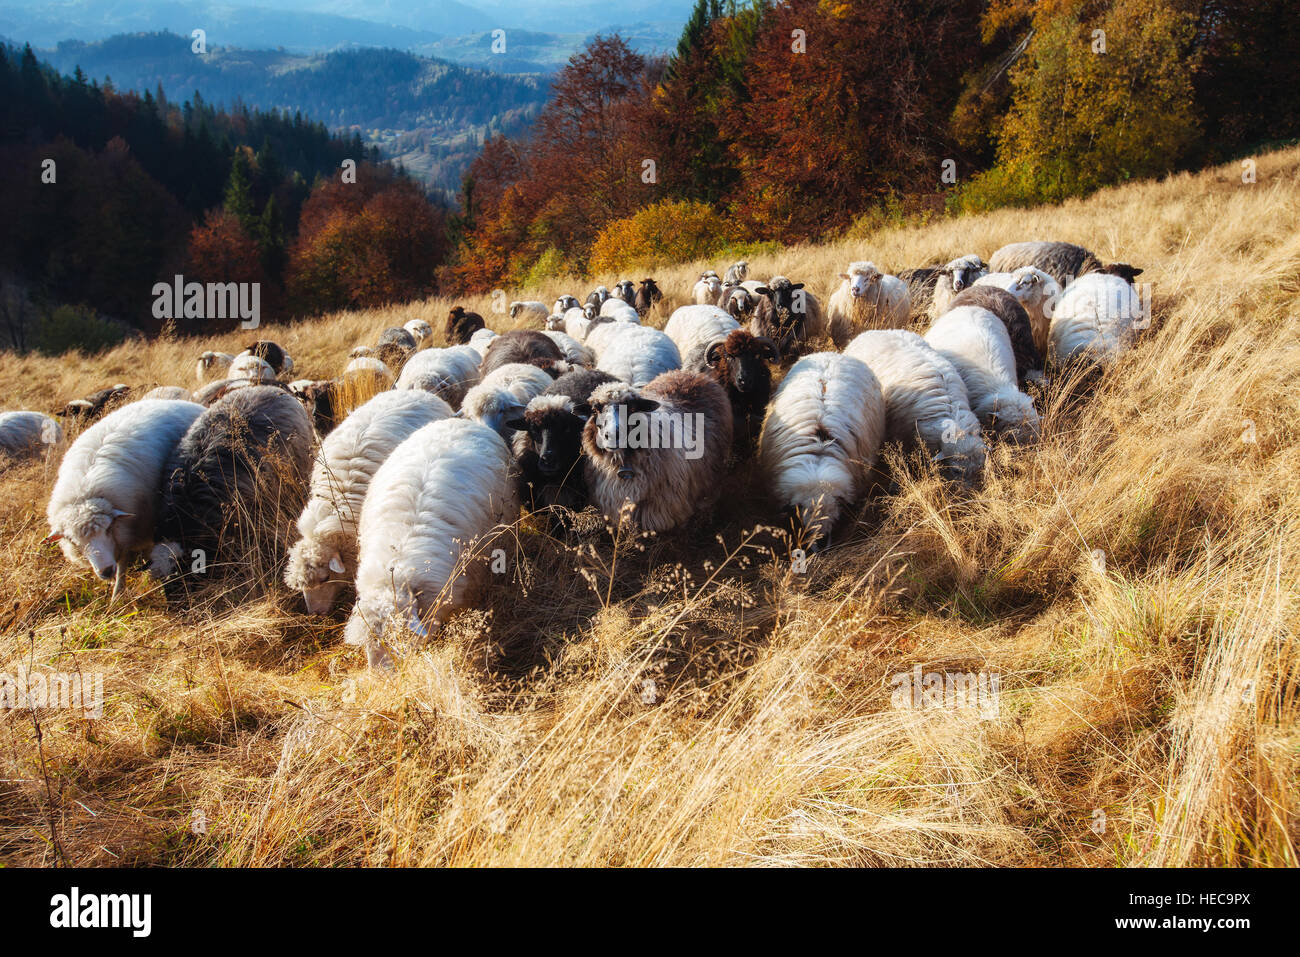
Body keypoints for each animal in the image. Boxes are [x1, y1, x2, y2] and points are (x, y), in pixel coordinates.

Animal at [44, 399, 204, 597]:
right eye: (73, 541)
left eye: (108, 529)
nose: (105, 571)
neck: (83, 492)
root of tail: (182, 401)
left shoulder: (130, 529)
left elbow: (122, 563)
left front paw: (117, 594)